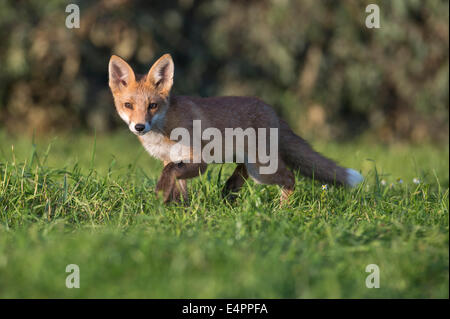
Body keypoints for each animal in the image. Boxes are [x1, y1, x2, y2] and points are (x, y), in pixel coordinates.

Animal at [108, 53, 362, 204]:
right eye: (128, 105)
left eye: (152, 105)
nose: (139, 126)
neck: (164, 129)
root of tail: (273, 111)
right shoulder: (171, 158)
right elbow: (178, 186)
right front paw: (180, 211)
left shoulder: (198, 161)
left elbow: (170, 172)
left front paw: (162, 195)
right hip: (251, 161)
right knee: (243, 171)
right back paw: (230, 190)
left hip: (263, 170)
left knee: (289, 177)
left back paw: (281, 211)